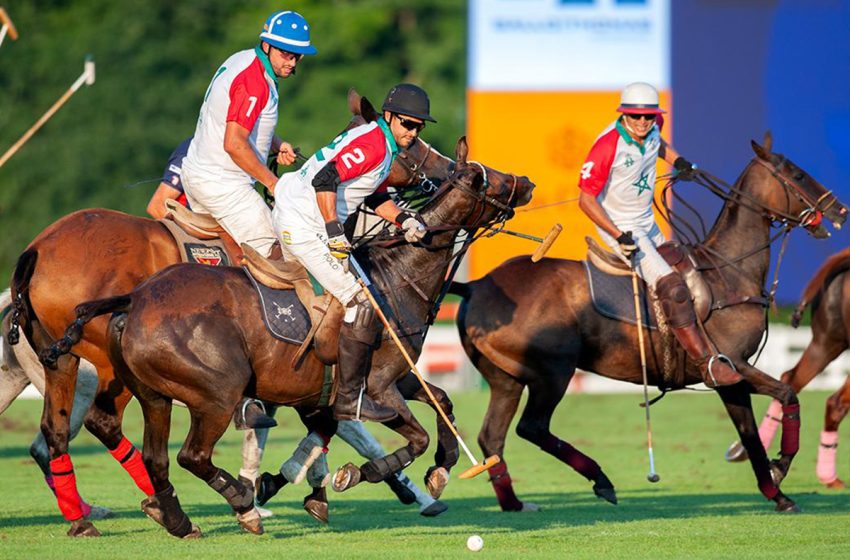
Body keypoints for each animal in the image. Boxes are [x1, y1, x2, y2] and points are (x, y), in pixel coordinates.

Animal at [4, 92, 458, 540]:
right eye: (411, 145)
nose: (450, 169)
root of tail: (36, 249)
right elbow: (345, 425)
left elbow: (320, 423)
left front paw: (298, 488)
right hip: (101, 363)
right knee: (102, 423)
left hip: (59, 360)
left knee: (59, 432)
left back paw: (92, 517)